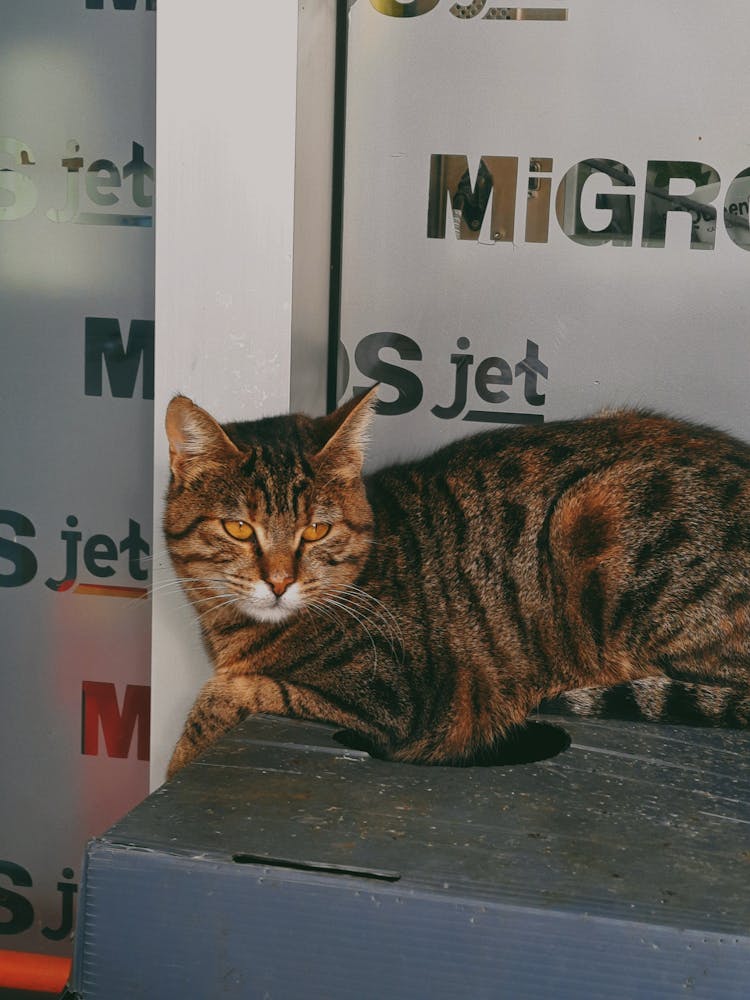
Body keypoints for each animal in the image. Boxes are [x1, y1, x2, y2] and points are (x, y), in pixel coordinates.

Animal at [164, 386, 750, 776]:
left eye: (316, 529)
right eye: (240, 528)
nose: (281, 582)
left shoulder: (397, 699)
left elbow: (234, 690)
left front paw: (179, 757)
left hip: (600, 516)